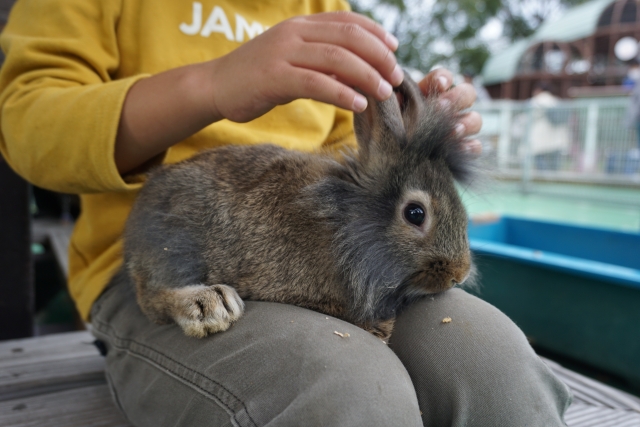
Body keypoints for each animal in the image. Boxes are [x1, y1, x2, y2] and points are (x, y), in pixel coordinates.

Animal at [122, 73, 478, 342]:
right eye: (415, 214)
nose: (458, 275)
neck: (345, 224)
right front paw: (380, 329)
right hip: (174, 244)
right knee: (150, 297)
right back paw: (209, 304)